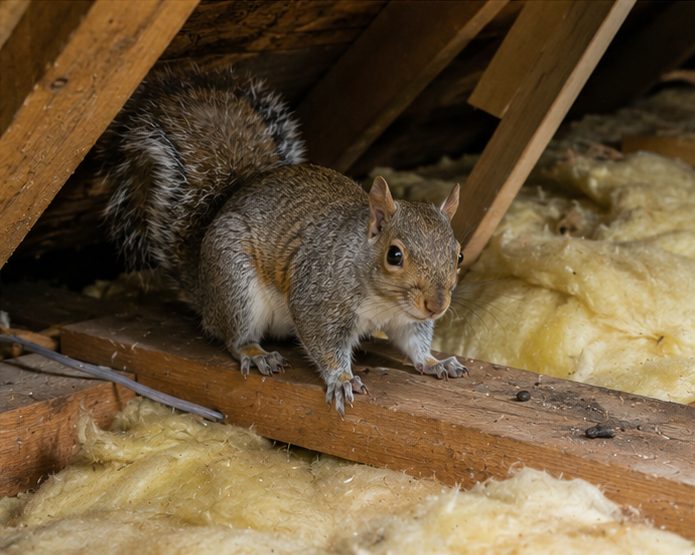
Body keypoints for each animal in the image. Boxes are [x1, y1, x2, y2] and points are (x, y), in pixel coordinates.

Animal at [97, 65, 467, 415]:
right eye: (394, 255)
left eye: (458, 256)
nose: (437, 306)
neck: (383, 299)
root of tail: (204, 289)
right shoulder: (317, 300)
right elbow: (322, 342)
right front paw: (341, 379)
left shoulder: (406, 319)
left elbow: (414, 342)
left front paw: (435, 362)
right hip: (235, 285)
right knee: (233, 336)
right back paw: (255, 352)